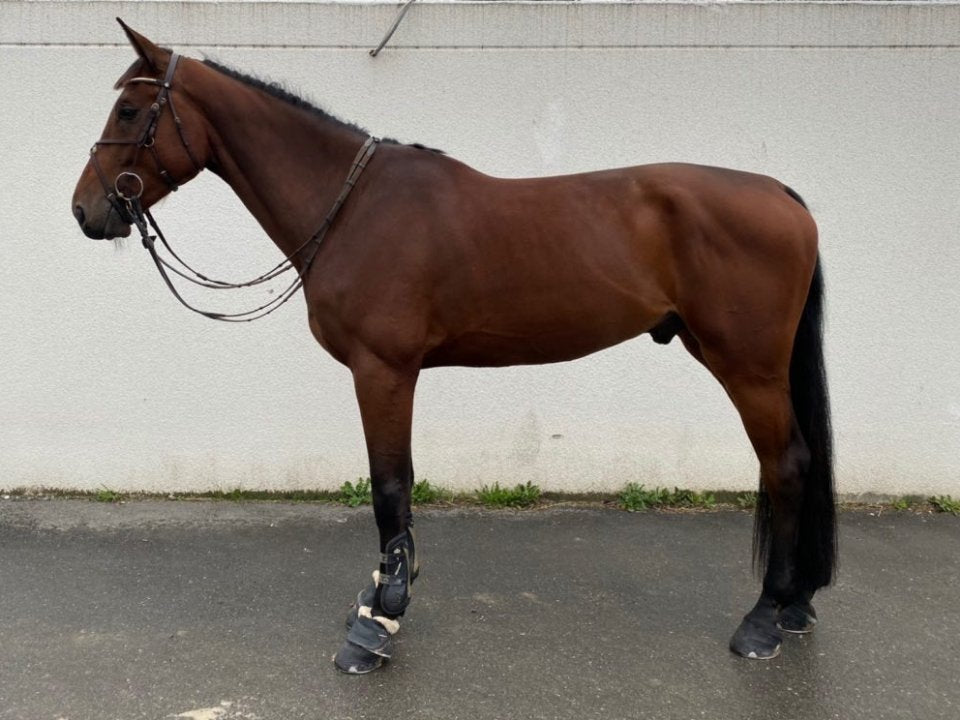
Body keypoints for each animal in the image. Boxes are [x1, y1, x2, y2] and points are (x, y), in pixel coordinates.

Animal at [71, 20, 836, 674]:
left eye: (130, 113)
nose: (86, 211)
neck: (355, 207)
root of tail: (781, 195)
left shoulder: (383, 370)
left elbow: (389, 486)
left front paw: (377, 624)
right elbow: (398, 488)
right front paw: (380, 598)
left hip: (748, 367)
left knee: (786, 463)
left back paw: (764, 620)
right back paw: (795, 604)